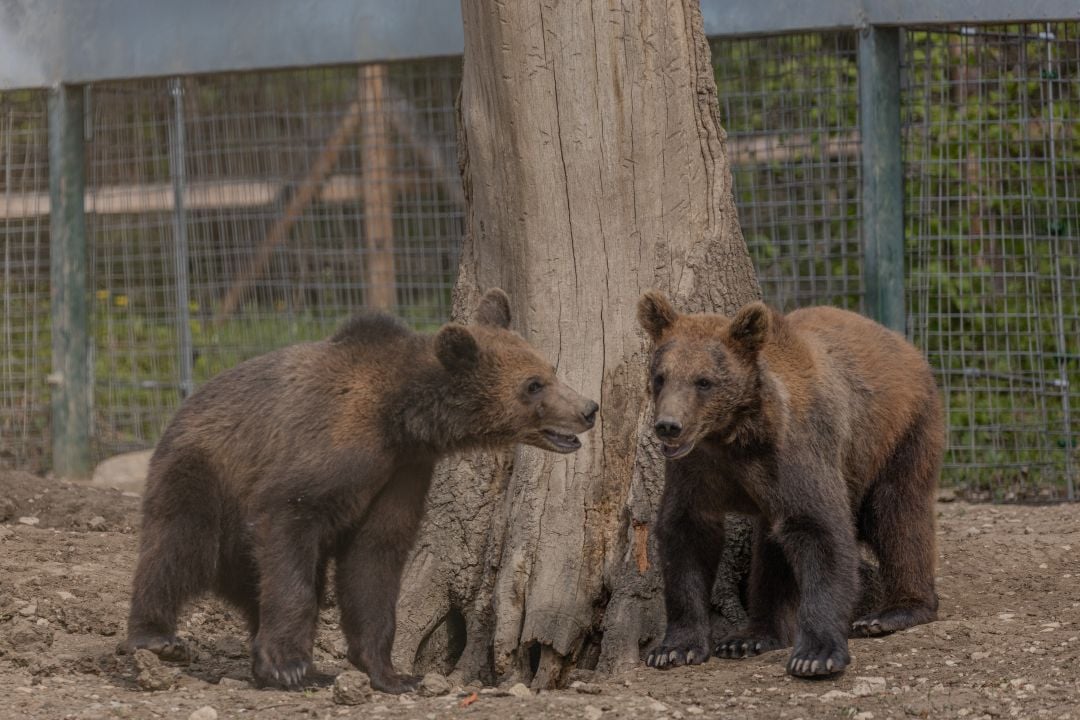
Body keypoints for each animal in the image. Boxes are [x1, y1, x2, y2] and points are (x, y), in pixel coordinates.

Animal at [121, 288, 598, 693]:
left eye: (550, 371)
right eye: (533, 384)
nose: (588, 408)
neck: (401, 419)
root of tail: (183, 406)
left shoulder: (401, 473)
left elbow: (374, 559)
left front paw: (392, 674)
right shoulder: (331, 454)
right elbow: (290, 529)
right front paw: (287, 664)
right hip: (205, 475)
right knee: (178, 546)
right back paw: (157, 638)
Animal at [637, 291, 943, 677]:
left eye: (703, 381)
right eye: (661, 376)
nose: (668, 425)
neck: (735, 437)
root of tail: (902, 343)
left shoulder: (795, 454)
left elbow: (821, 531)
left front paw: (815, 655)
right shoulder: (697, 470)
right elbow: (686, 535)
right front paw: (675, 648)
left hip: (899, 433)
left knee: (898, 515)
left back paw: (894, 611)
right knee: (773, 549)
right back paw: (750, 637)